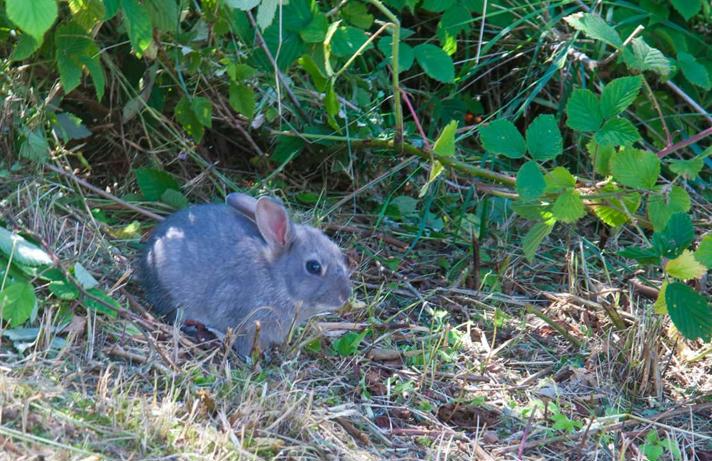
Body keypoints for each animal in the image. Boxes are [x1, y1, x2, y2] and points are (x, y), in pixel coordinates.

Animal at [138, 190, 352, 356]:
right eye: (314, 267)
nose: (345, 296)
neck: (276, 278)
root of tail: (148, 254)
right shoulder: (240, 317)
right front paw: (252, 358)